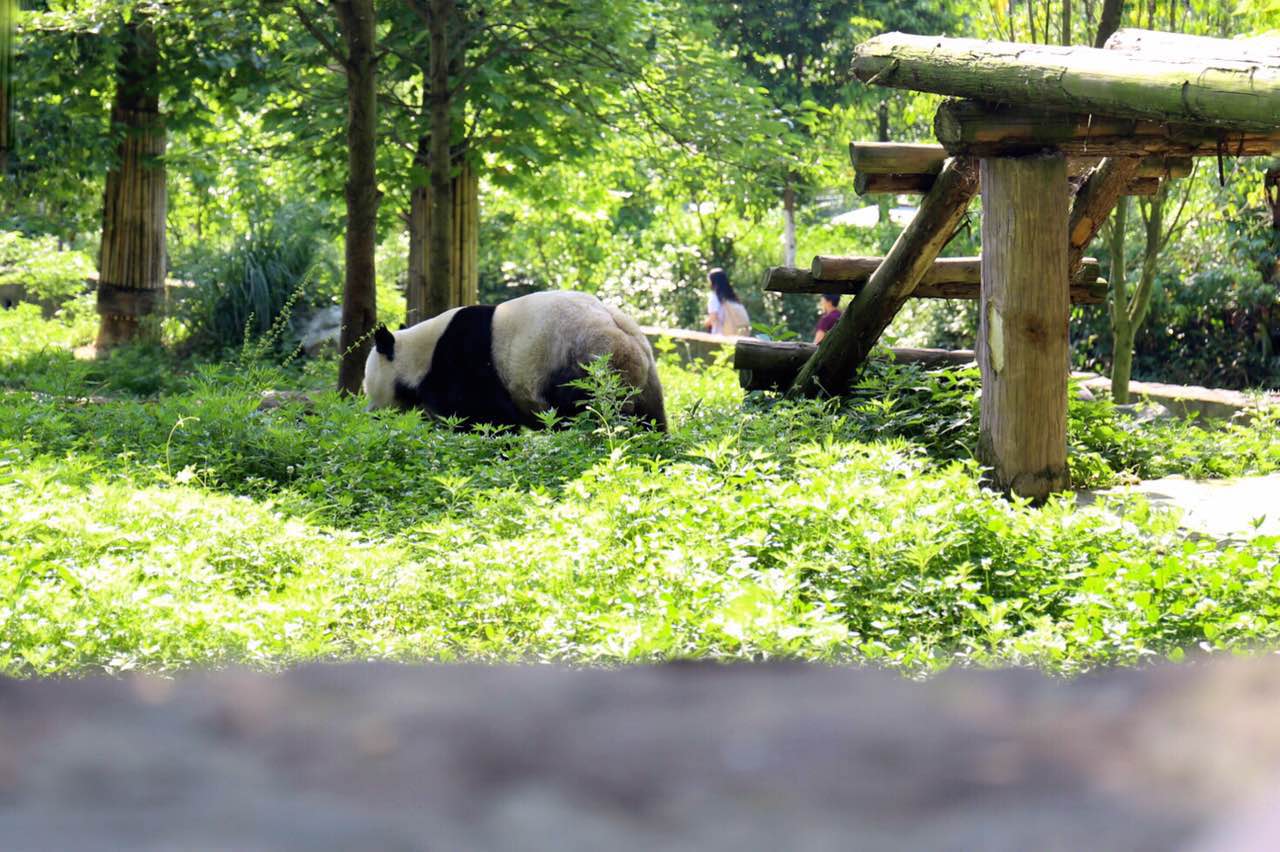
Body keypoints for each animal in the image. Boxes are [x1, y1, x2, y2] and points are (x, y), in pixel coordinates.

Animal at [358, 289, 665, 427]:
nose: (370, 413)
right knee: (650, 418)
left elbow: (480, 415)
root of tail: (619, 329)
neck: (421, 352)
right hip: (644, 379)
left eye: (368, 385)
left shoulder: (460, 362)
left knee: (585, 410)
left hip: (582, 362)